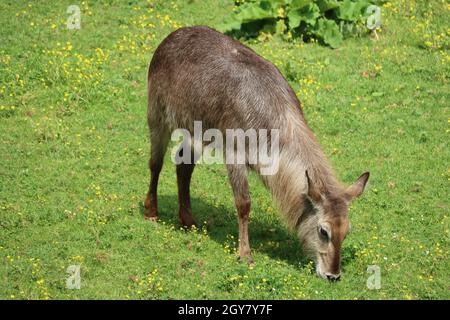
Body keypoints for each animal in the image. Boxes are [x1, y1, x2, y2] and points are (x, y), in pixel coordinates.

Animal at [144, 26, 370, 280]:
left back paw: (188, 220)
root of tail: (172, 36)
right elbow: (243, 204)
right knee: (155, 163)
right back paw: (151, 211)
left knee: (183, 166)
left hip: (194, 130)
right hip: (158, 116)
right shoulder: (234, 154)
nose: (333, 275)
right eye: (324, 231)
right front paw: (245, 255)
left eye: (346, 231)